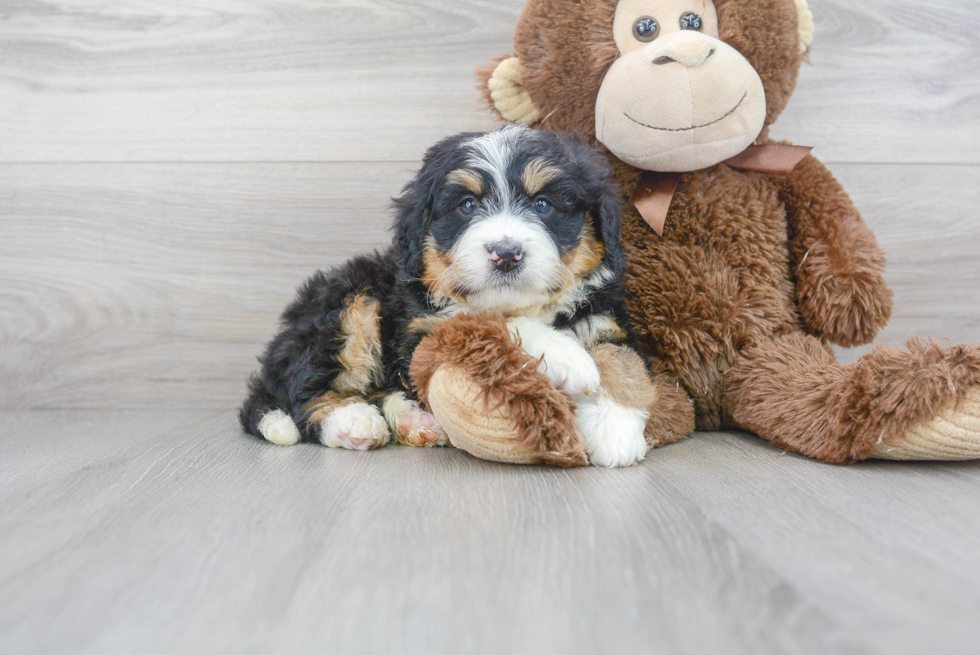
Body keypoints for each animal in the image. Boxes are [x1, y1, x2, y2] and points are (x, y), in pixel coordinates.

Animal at [240, 125, 660, 466]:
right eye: (467, 205)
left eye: (543, 204)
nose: (506, 253)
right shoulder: (422, 331)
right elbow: (489, 322)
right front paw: (565, 355)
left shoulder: (605, 314)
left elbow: (620, 359)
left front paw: (614, 427)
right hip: (349, 303)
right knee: (302, 393)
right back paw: (353, 422)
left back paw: (414, 419)